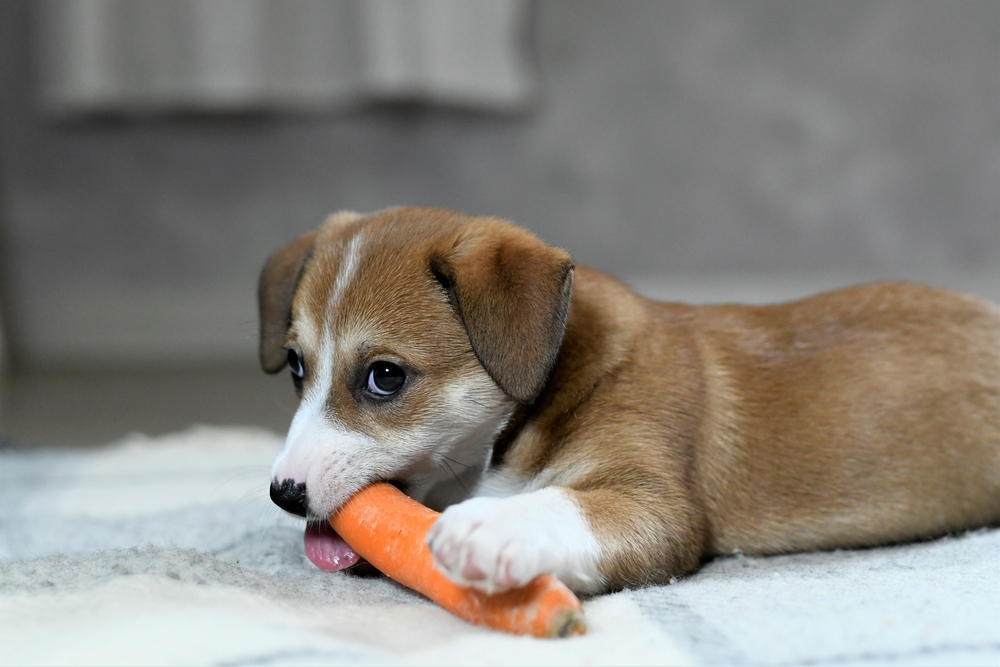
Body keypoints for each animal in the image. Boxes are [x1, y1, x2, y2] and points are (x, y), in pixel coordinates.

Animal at [260, 207, 1000, 596]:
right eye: (295, 365)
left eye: (384, 376)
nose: (285, 494)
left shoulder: (655, 503)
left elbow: (563, 505)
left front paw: (491, 528)